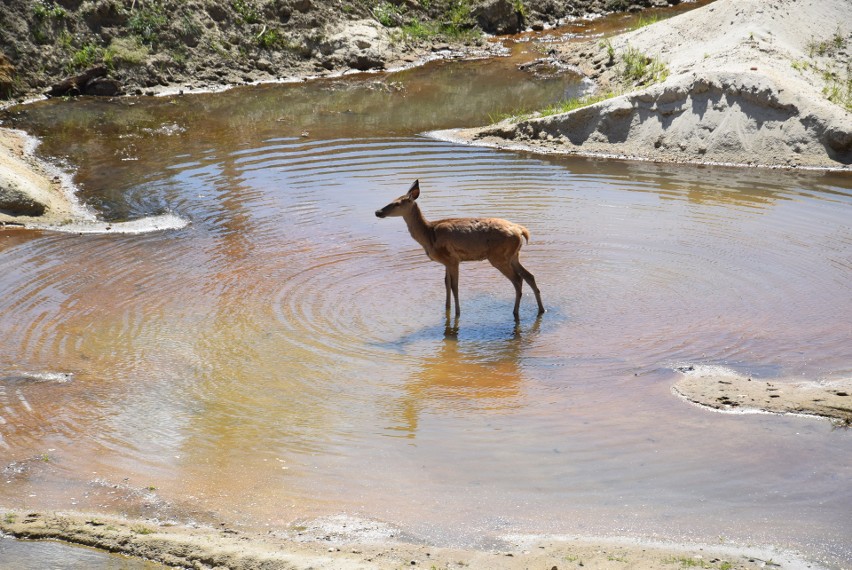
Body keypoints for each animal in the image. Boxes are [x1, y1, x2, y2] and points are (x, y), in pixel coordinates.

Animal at [374, 179, 544, 320]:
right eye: (392, 200)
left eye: (397, 203)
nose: (378, 212)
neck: (429, 235)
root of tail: (521, 230)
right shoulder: (446, 262)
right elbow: (446, 283)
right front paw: (447, 309)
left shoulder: (452, 259)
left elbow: (454, 286)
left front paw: (457, 314)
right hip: (513, 255)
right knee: (529, 276)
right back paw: (541, 310)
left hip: (498, 257)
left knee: (518, 280)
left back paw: (515, 312)